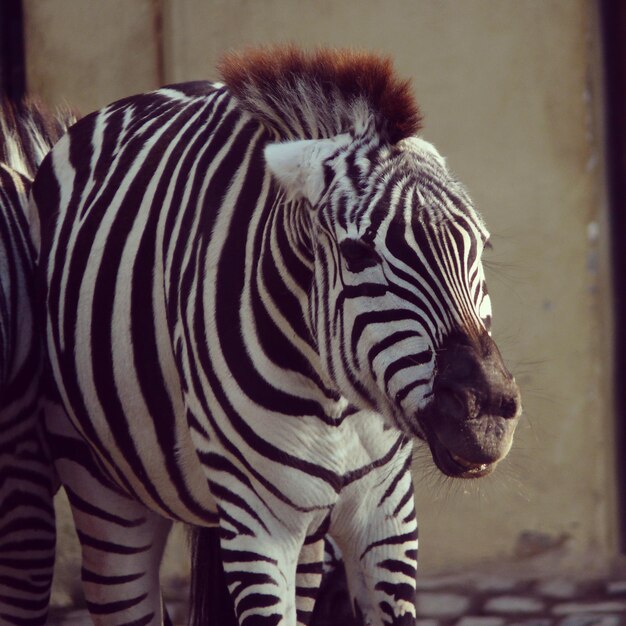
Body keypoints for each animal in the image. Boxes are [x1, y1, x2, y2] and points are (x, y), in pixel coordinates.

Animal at [31, 45, 520, 624]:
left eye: (482, 247)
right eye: (358, 253)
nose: (486, 415)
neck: (335, 398)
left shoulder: (388, 515)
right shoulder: (259, 522)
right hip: (100, 485)